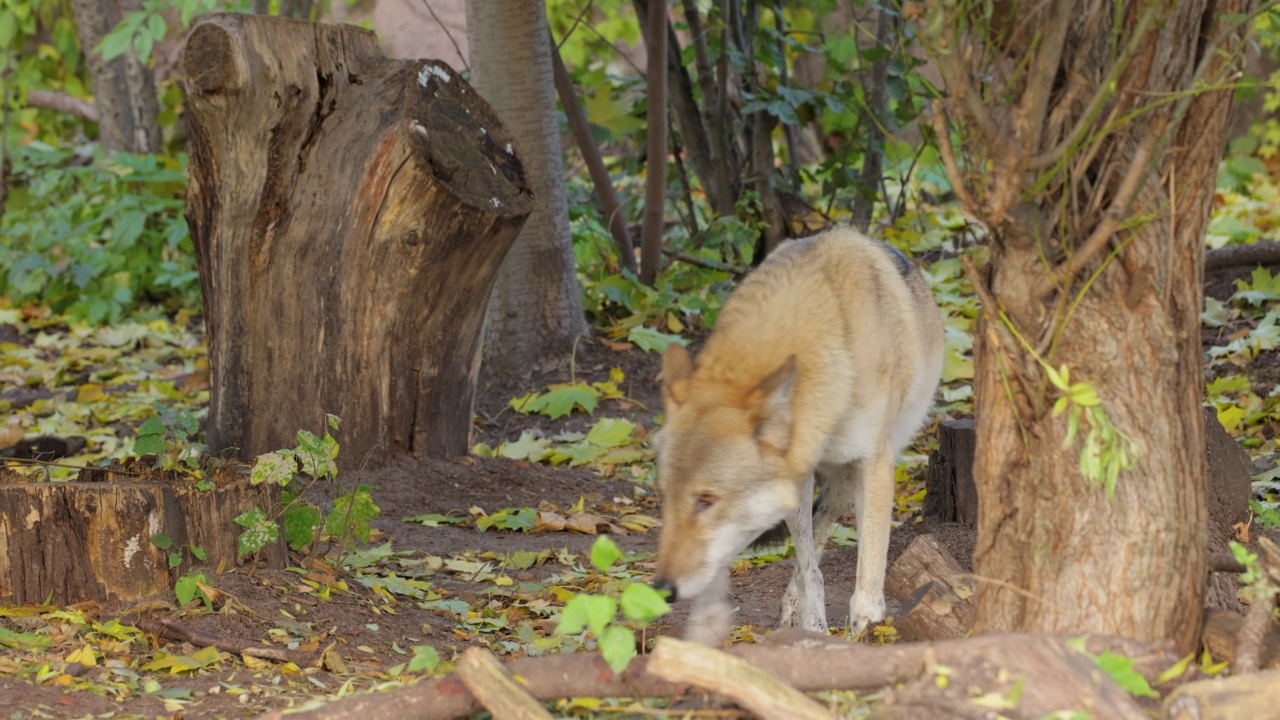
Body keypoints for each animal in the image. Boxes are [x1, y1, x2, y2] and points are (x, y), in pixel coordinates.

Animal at [655, 224, 947, 638]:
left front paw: (863, 632)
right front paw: (814, 630)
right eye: (666, 495)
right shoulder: (798, 473)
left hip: (849, 479)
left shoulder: (874, 462)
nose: (662, 588)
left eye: (707, 500)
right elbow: (810, 571)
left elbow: (867, 574)